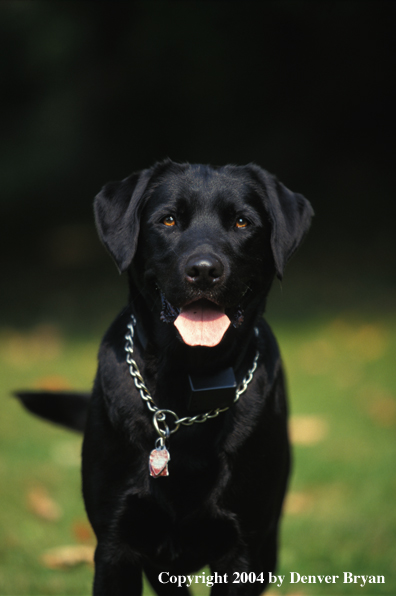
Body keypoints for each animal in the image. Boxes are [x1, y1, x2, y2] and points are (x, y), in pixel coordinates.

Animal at [17, 161, 312, 592]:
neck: (190, 383)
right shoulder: (116, 545)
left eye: (242, 222)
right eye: (168, 220)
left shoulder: (243, 550)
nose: (204, 271)